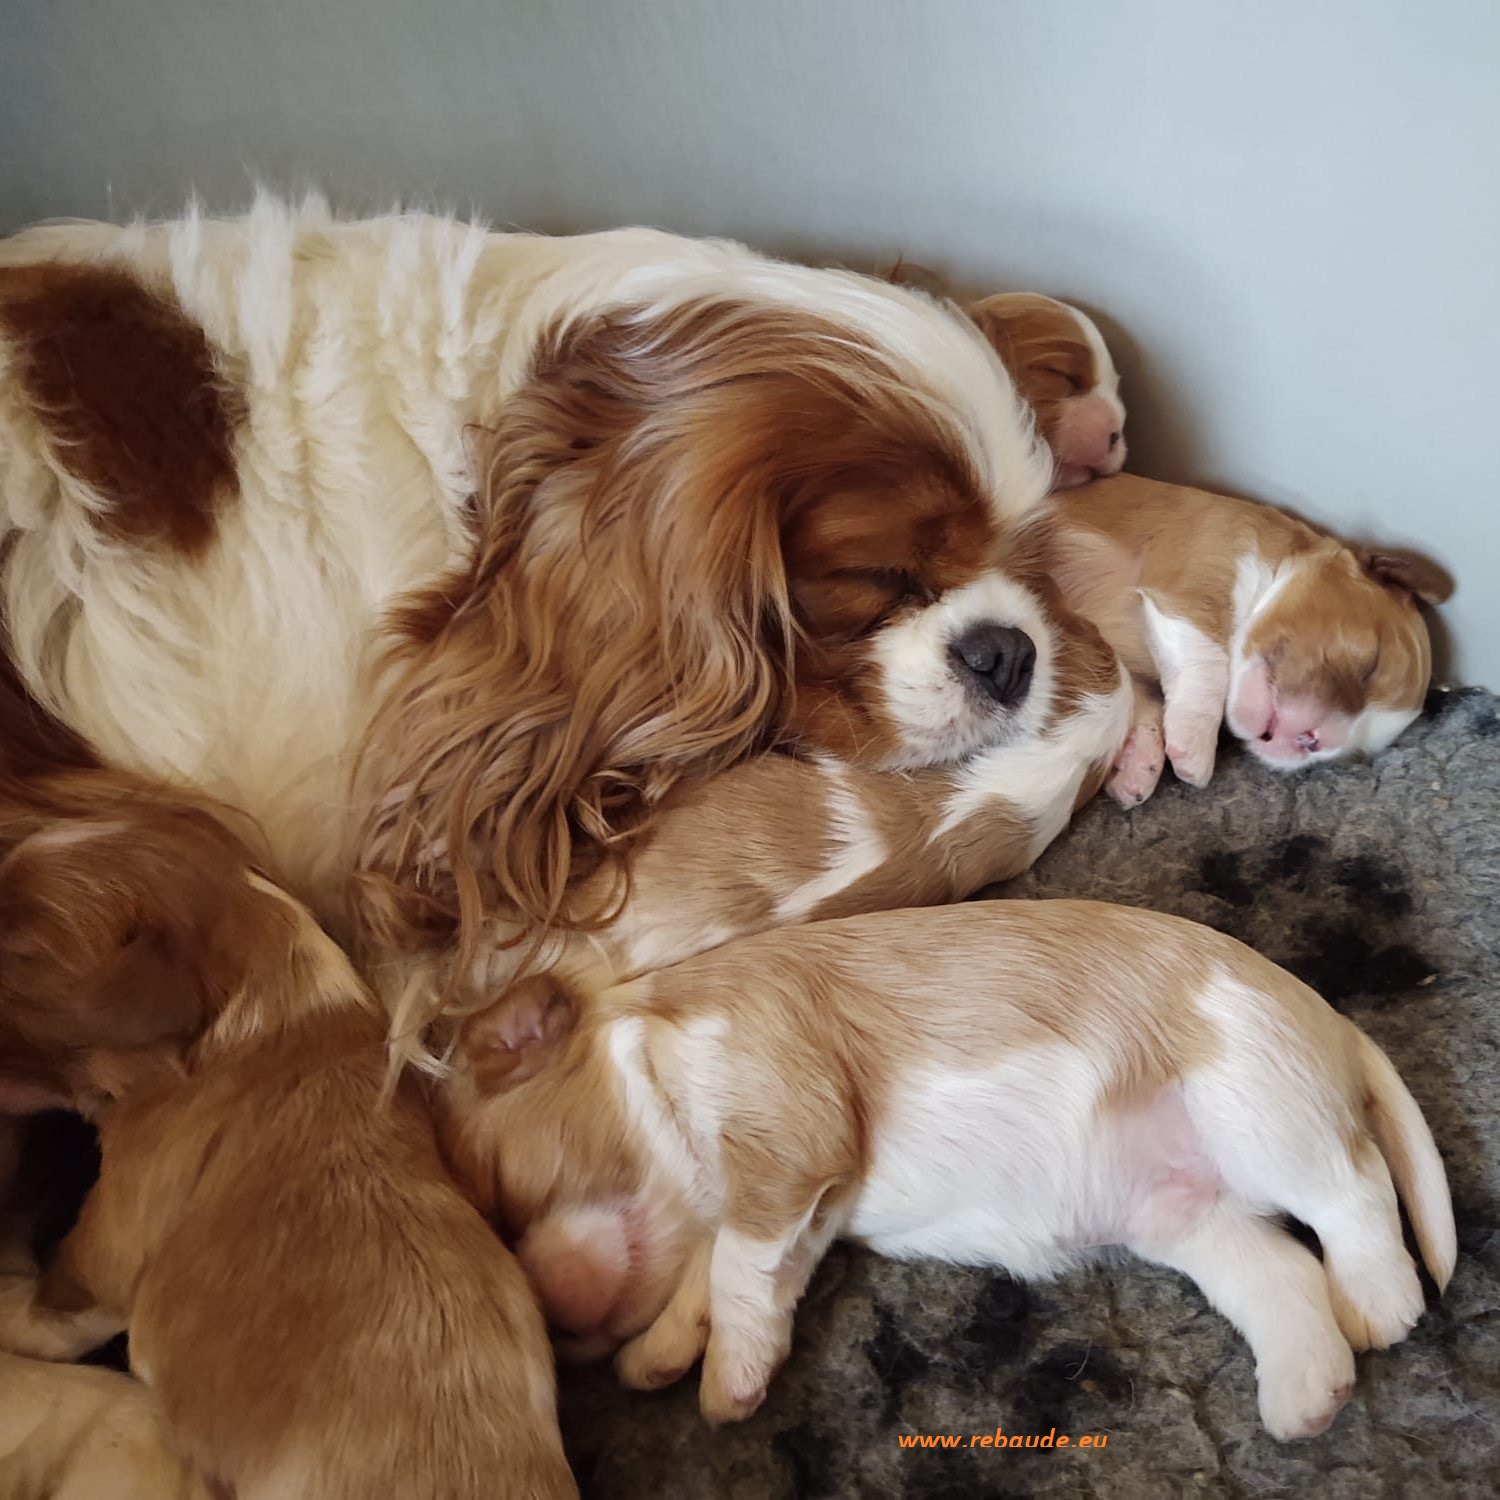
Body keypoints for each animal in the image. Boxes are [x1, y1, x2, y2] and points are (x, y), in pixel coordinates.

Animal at [438, 894, 1452, 1446]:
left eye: (501, 1192)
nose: (556, 1333)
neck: (650, 1035)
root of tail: (1335, 1023)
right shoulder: (805, 1207)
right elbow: (734, 1279)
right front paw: (668, 1358)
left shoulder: (787, 1126)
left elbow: (730, 1263)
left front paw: (721, 1383)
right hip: (1187, 1215)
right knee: (1284, 1273)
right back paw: (1307, 1398)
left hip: (1252, 1100)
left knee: (1354, 1188)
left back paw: (1381, 1303)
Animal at [1044, 480, 1452, 810]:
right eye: (1372, 664)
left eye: (1351, 754)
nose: (1313, 741)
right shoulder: (1190, 590)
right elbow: (1209, 661)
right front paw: (1194, 748)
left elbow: (1139, 697)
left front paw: (1137, 765)